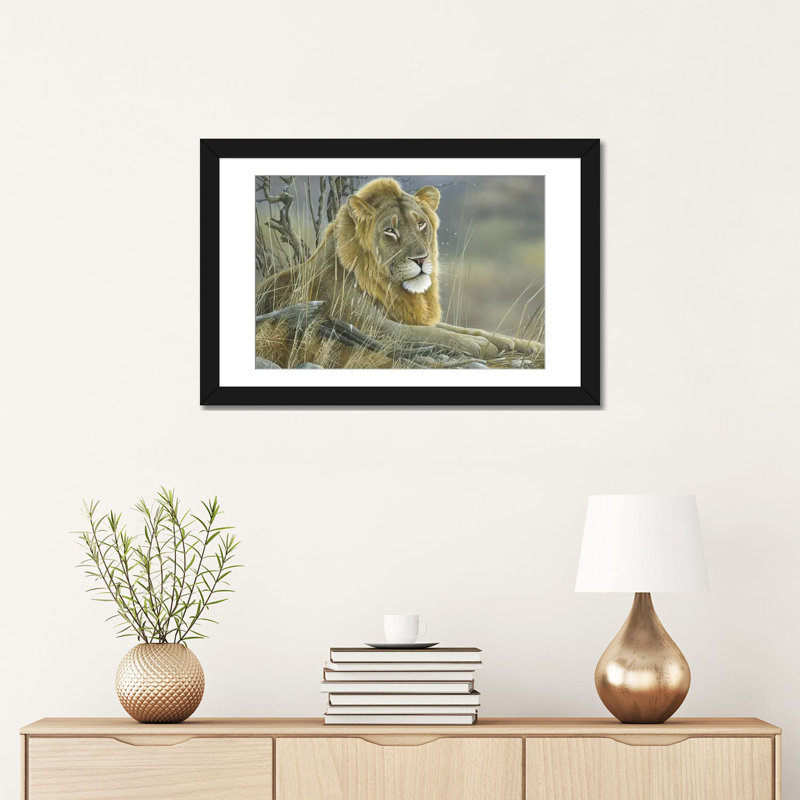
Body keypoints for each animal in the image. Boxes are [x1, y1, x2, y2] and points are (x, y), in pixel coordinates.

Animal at [255, 178, 541, 367]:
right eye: (390, 231)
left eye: (421, 224)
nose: (422, 259)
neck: (392, 288)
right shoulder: (368, 323)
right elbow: (429, 334)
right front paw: (479, 346)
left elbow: (466, 328)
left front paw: (524, 344)